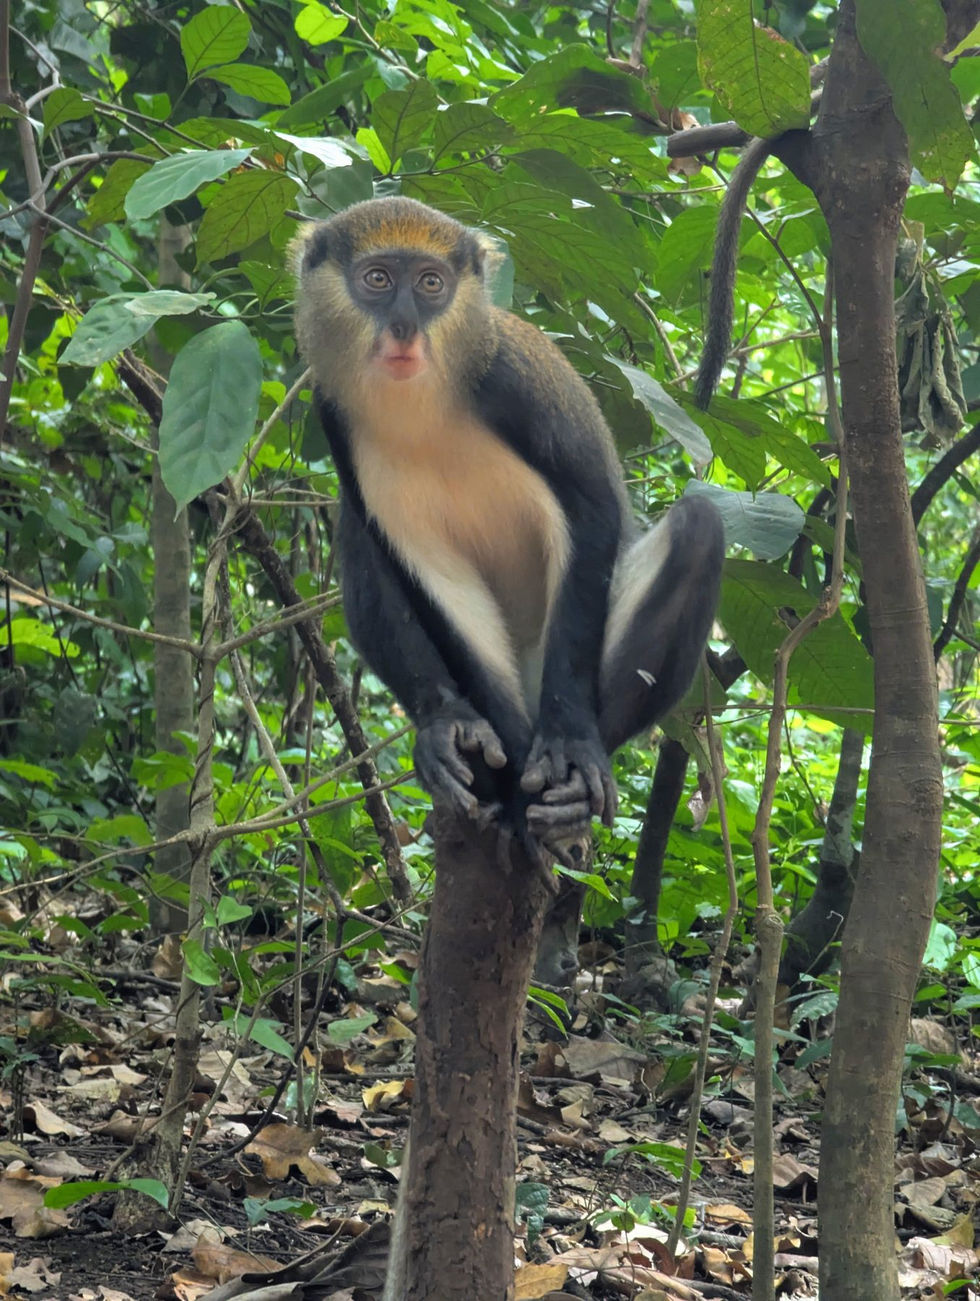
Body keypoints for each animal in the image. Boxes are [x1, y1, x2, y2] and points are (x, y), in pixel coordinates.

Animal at [292, 196, 723, 860]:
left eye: (431, 284)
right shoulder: (332, 412)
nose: (404, 328)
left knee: (699, 529)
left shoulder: (515, 383)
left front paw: (568, 748)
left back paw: (568, 794)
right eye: (378, 280)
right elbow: (426, 570)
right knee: (361, 539)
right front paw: (466, 737)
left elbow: (591, 511)